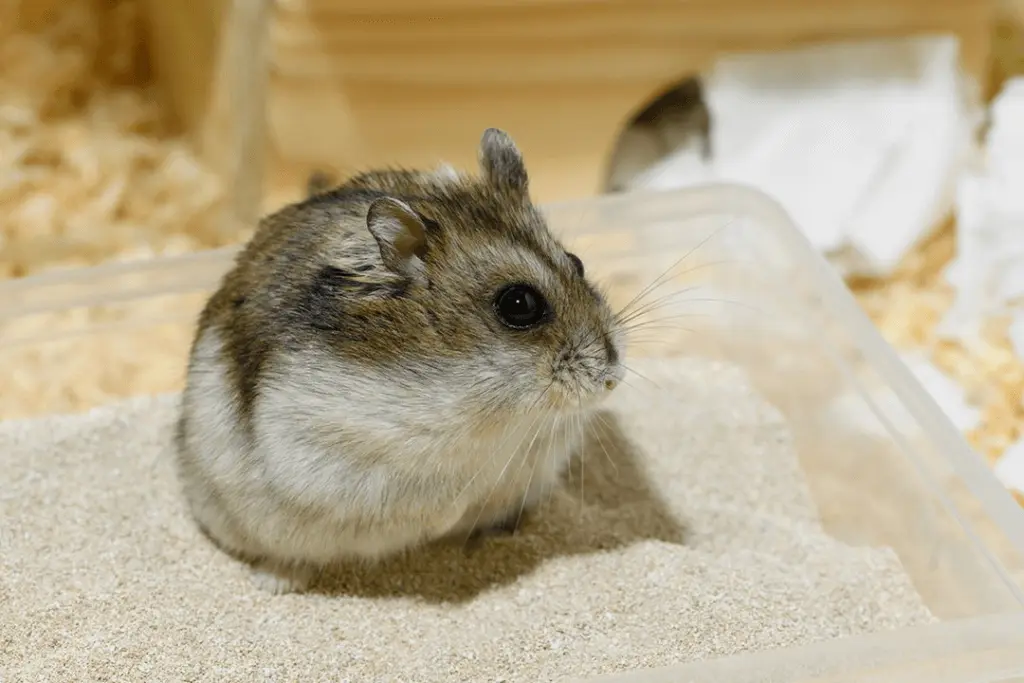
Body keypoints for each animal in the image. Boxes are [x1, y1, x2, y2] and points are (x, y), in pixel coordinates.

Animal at [175, 126, 622, 593]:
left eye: (577, 262)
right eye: (519, 304)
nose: (612, 377)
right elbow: (440, 500)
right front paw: (451, 521)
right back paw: (275, 581)